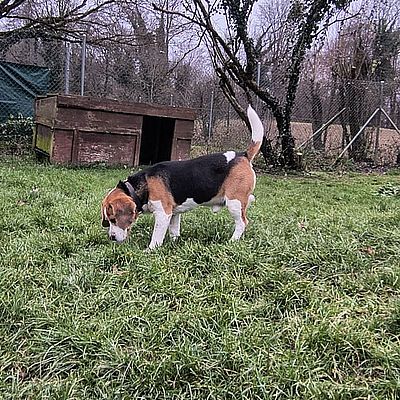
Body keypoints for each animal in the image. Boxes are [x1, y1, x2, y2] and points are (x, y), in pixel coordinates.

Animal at [101, 105, 264, 249]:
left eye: (113, 219)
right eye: (108, 221)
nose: (111, 238)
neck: (143, 185)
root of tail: (243, 155)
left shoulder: (163, 214)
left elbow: (156, 236)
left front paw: (150, 250)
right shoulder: (174, 214)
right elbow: (174, 231)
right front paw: (174, 243)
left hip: (234, 202)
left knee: (242, 223)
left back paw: (232, 241)